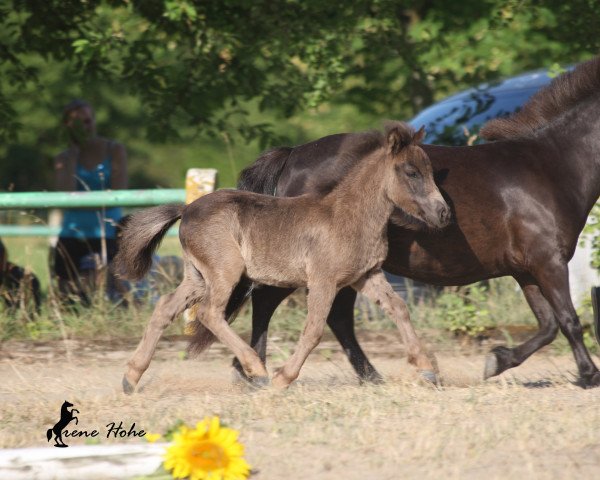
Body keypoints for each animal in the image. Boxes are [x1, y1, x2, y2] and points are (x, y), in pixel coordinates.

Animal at [190, 57, 600, 386]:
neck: (550, 167)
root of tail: (292, 156)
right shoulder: (547, 261)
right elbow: (568, 320)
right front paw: (588, 375)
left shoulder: (525, 268)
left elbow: (548, 324)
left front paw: (497, 361)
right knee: (269, 302)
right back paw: (253, 371)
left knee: (334, 317)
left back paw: (366, 377)